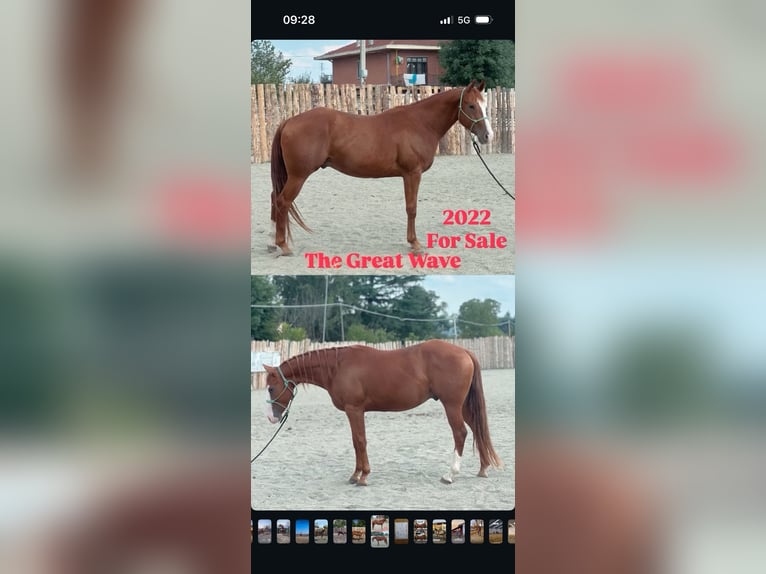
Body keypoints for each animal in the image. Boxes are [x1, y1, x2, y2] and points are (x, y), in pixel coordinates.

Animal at [262, 339, 503, 486]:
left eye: (271, 388)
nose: (271, 418)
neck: (338, 367)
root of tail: (464, 351)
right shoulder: (353, 412)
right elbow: (355, 442)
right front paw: (355, 475)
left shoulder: (355, 410)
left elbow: (360, 441)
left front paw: (363, 476)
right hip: (462, 406)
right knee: (477, 429)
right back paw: (483, 468)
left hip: (451, 405)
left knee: (460, 433)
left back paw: (450, 475)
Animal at [268, 80, 494, 256]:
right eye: (471, 106)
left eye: (485, 105)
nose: (487, 136)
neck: (420, 123)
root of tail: (289, 121)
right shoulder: (412, 174)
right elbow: (411, 208)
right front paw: (415, 243)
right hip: (298, 176)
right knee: (282, 201)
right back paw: (283, 246)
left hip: (290, 175)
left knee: (274, 198)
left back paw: (272, 243)